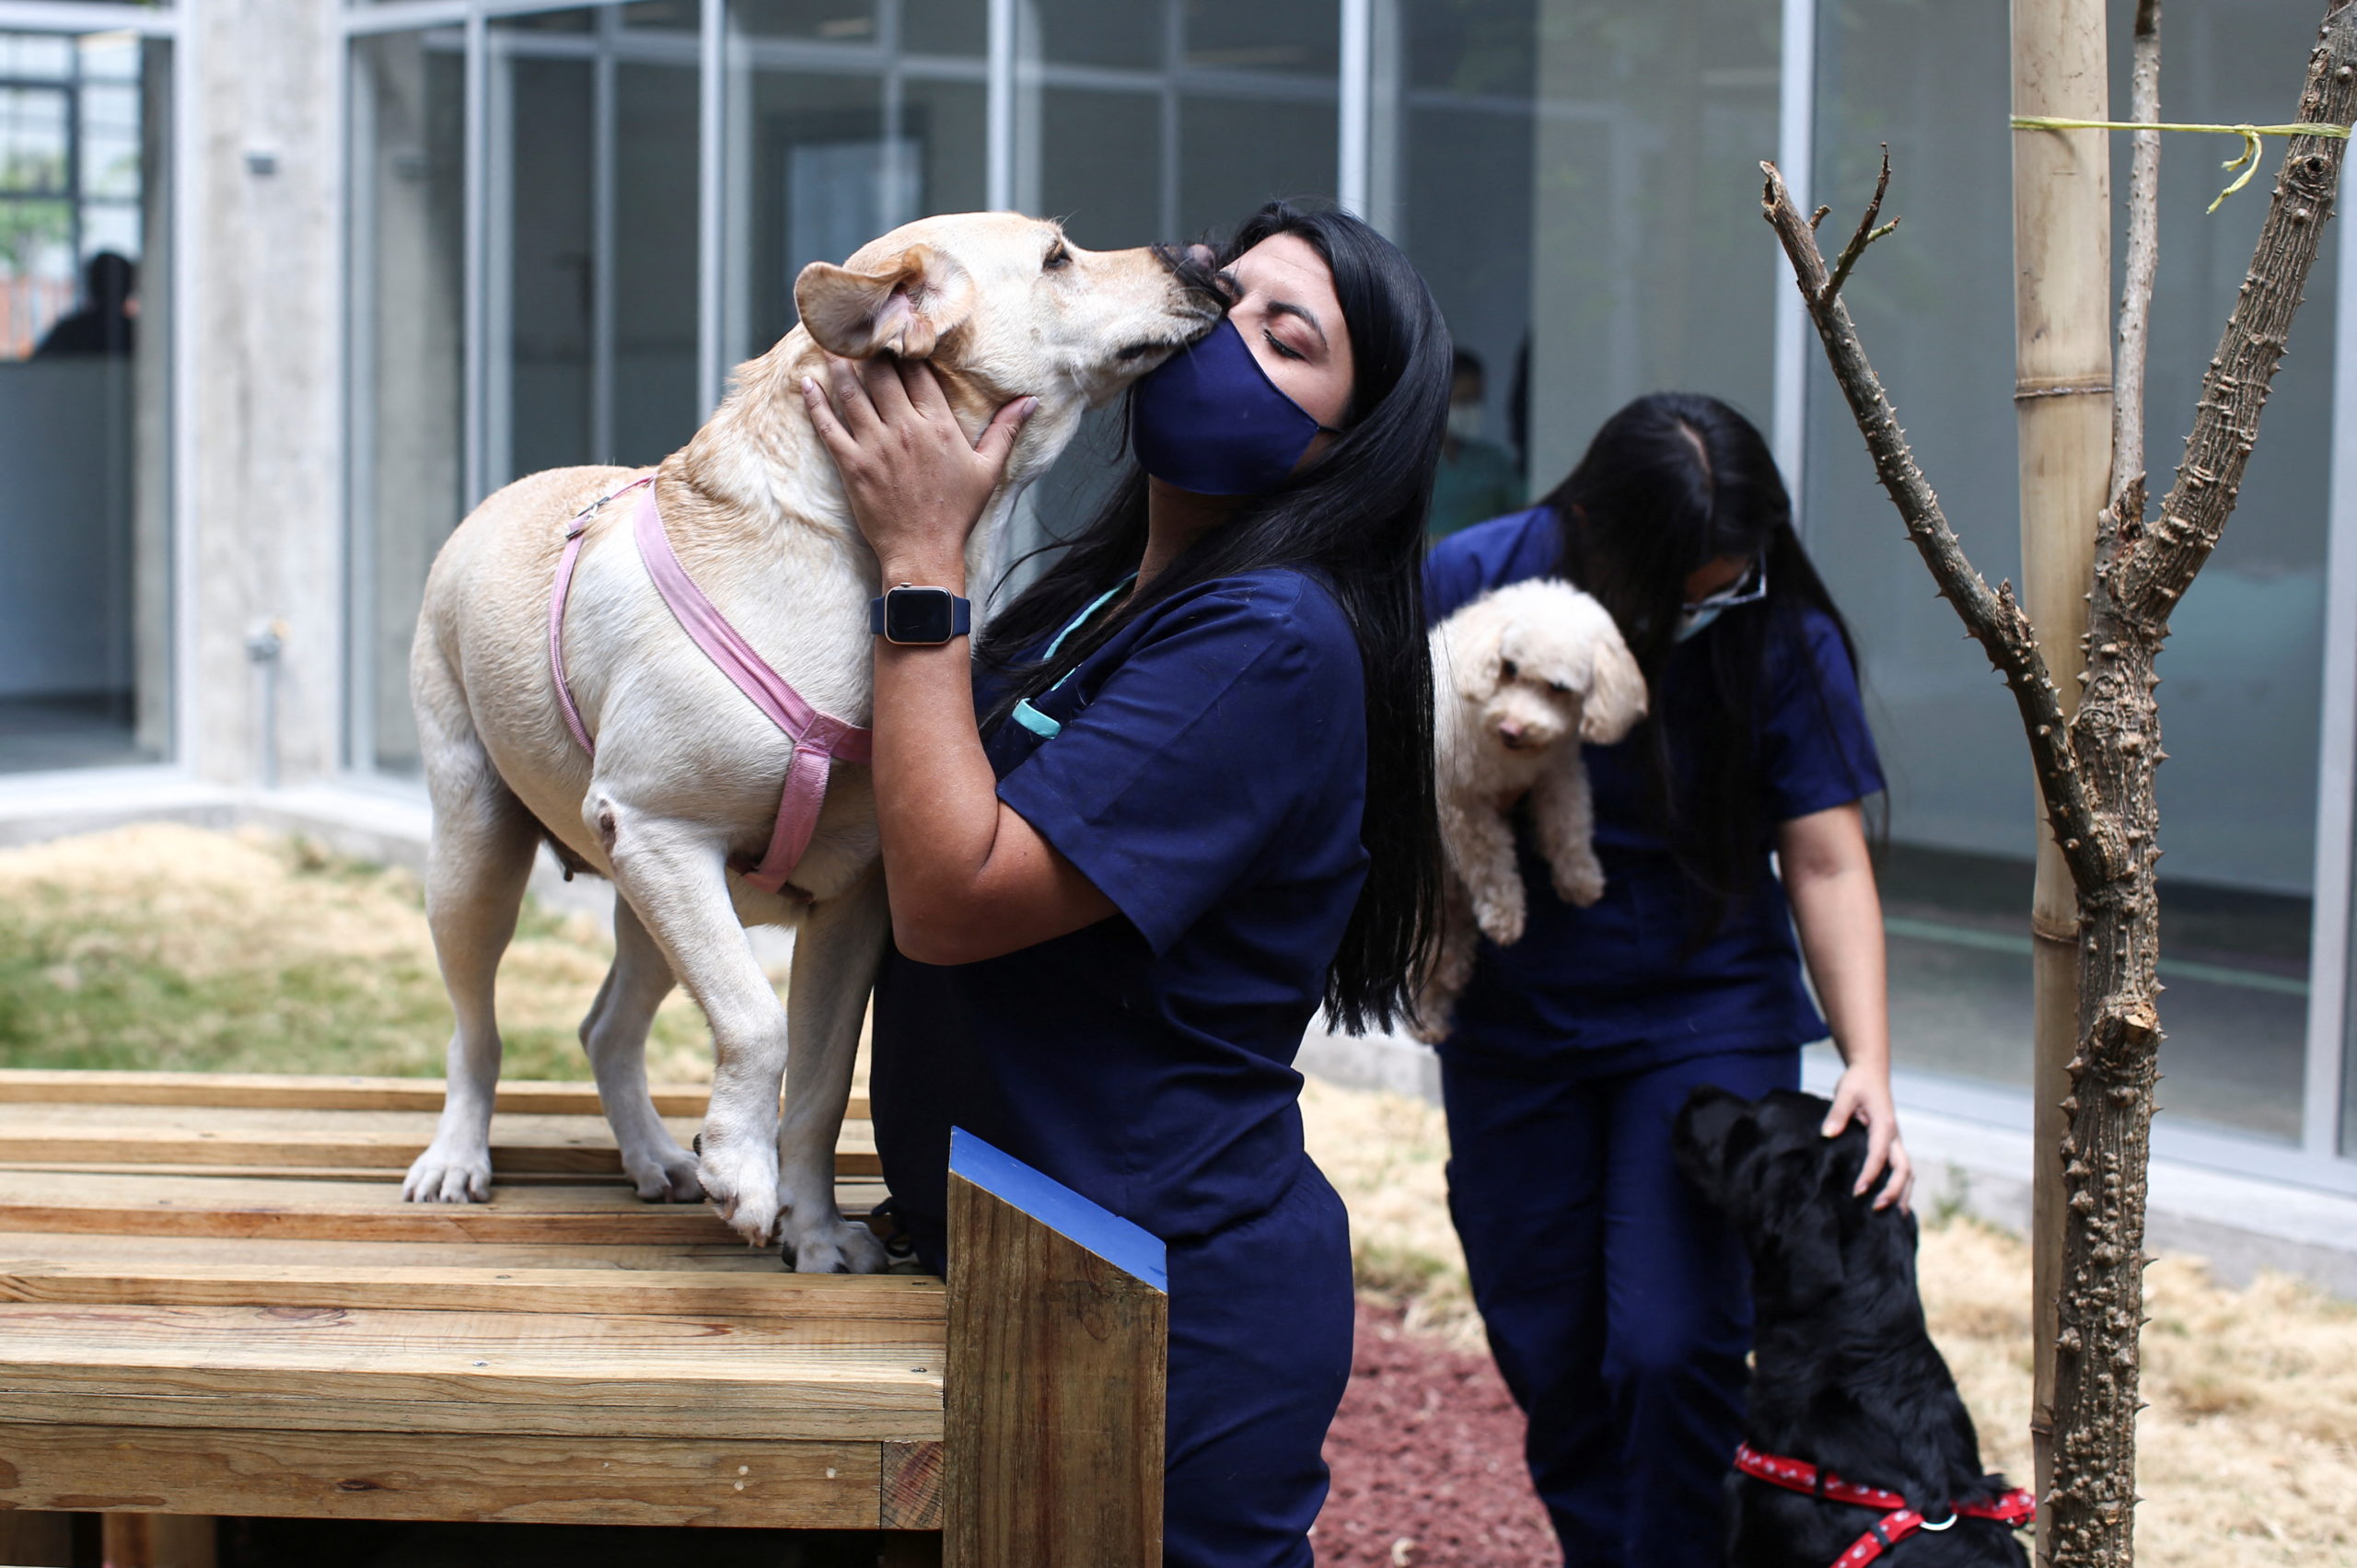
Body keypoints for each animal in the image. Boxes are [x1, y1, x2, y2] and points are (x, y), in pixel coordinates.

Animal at [407, 211, 1225, 1272]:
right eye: (1057, 260)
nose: (1204, 261)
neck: (854, 557)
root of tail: (503, 496)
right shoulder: (661, 830)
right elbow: (757, 1023)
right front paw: (744, 1175)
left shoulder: (851, 897)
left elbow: (827, 1074)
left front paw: (818, 1227)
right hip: (481, 856)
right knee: (475, 1024)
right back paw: (459, 1154)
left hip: (648, 901)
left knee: (606, 1026)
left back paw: (655, 1154)